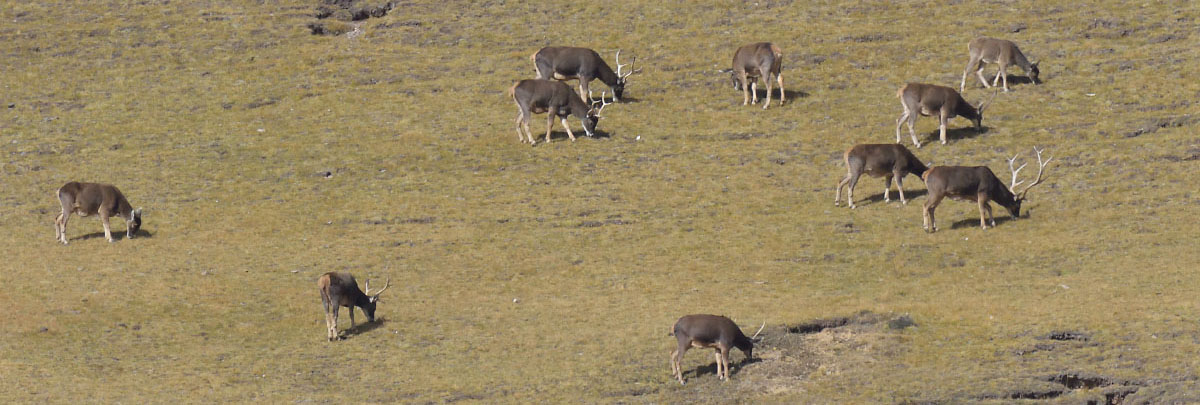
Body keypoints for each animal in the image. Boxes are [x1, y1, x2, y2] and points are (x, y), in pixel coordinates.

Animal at [921, 147, 1052, 232]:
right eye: (1017, 205)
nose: (1017, 216)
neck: (993, 189)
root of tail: (926, 174)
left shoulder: (978, 196)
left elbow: (989, 207)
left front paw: (993, 222)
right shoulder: (982, 192)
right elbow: (982, 209)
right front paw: (984, 226)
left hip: (941, 194)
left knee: (932, 208)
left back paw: (935, 227)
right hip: (936, 191)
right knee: (925, 205)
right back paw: (926, 228)